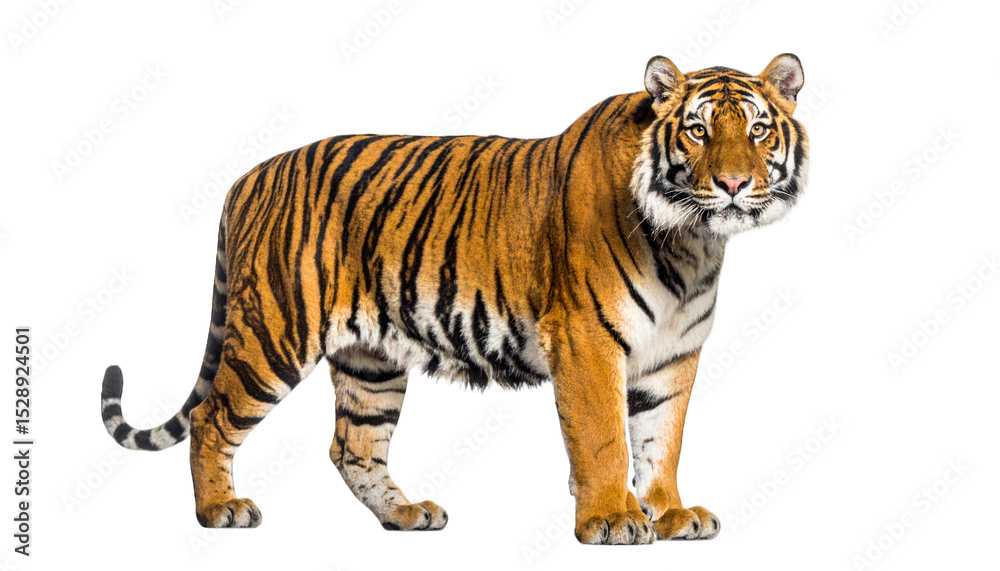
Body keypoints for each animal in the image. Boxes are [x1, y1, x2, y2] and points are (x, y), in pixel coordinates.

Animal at [100, 53, 808, 545]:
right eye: (696, 131)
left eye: (758, 130)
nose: (734, 183)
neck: (692, 242)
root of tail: (248, 176)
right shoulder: (586, 342)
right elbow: (605, 438)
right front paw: (612, 519)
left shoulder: (671, 356)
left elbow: (661, 439)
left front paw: (671, 513)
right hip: (274, 331)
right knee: (210, 417)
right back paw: (219, 510)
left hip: (370, 360)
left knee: (352, 447)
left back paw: (406, 515)